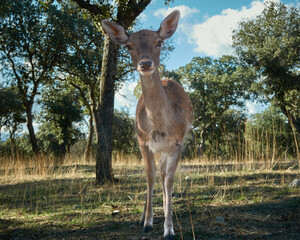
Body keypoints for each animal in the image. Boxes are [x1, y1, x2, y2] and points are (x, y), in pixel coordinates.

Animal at [102, 10, 193, 239]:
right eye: (128, 46)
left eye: (159, 42)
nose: (145, 63)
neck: (160, 126)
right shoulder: (143, 141)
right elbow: (149, 177)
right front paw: (148, 222)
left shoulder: (177, 142)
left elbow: (169, 179)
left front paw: (169, 228)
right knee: (155, 173)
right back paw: (144, 215)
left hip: (168, 147)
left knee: (163, 174)